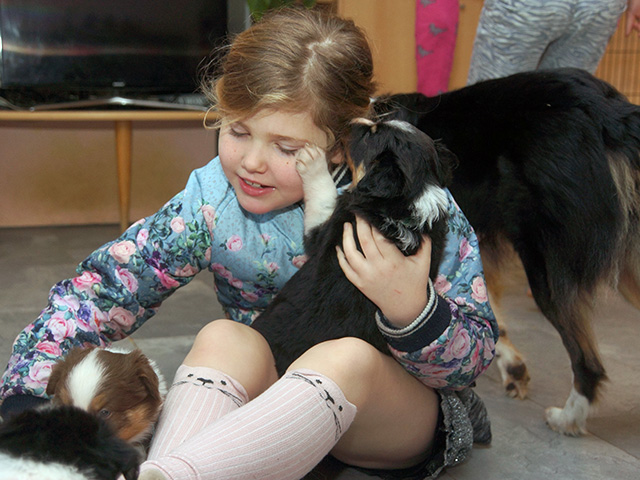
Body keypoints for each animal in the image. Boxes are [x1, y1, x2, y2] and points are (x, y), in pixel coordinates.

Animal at [251, 118, 456, 376]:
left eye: (369, 136)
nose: (350, 121)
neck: (411, 201)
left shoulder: (326, 229)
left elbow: (323, 197)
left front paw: (312, 160)